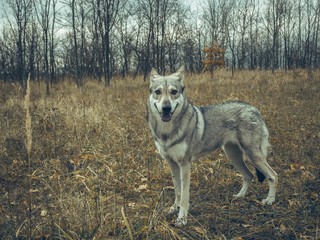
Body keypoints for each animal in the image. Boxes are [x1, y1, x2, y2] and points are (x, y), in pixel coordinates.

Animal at [147, 66, 278, 227]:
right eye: (158, 92)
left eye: (173, 92)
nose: (166, 108)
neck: (167, 131)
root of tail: (255, 109)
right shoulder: (172, 164)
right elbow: (177, 191)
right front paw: (174, 208)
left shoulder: (185, 165)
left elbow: (184, 196)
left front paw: (182, 218)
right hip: (234, 157)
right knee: (249, 175)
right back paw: (239, 196)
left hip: (253, 156)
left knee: (273, 175)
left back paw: (269, 200)